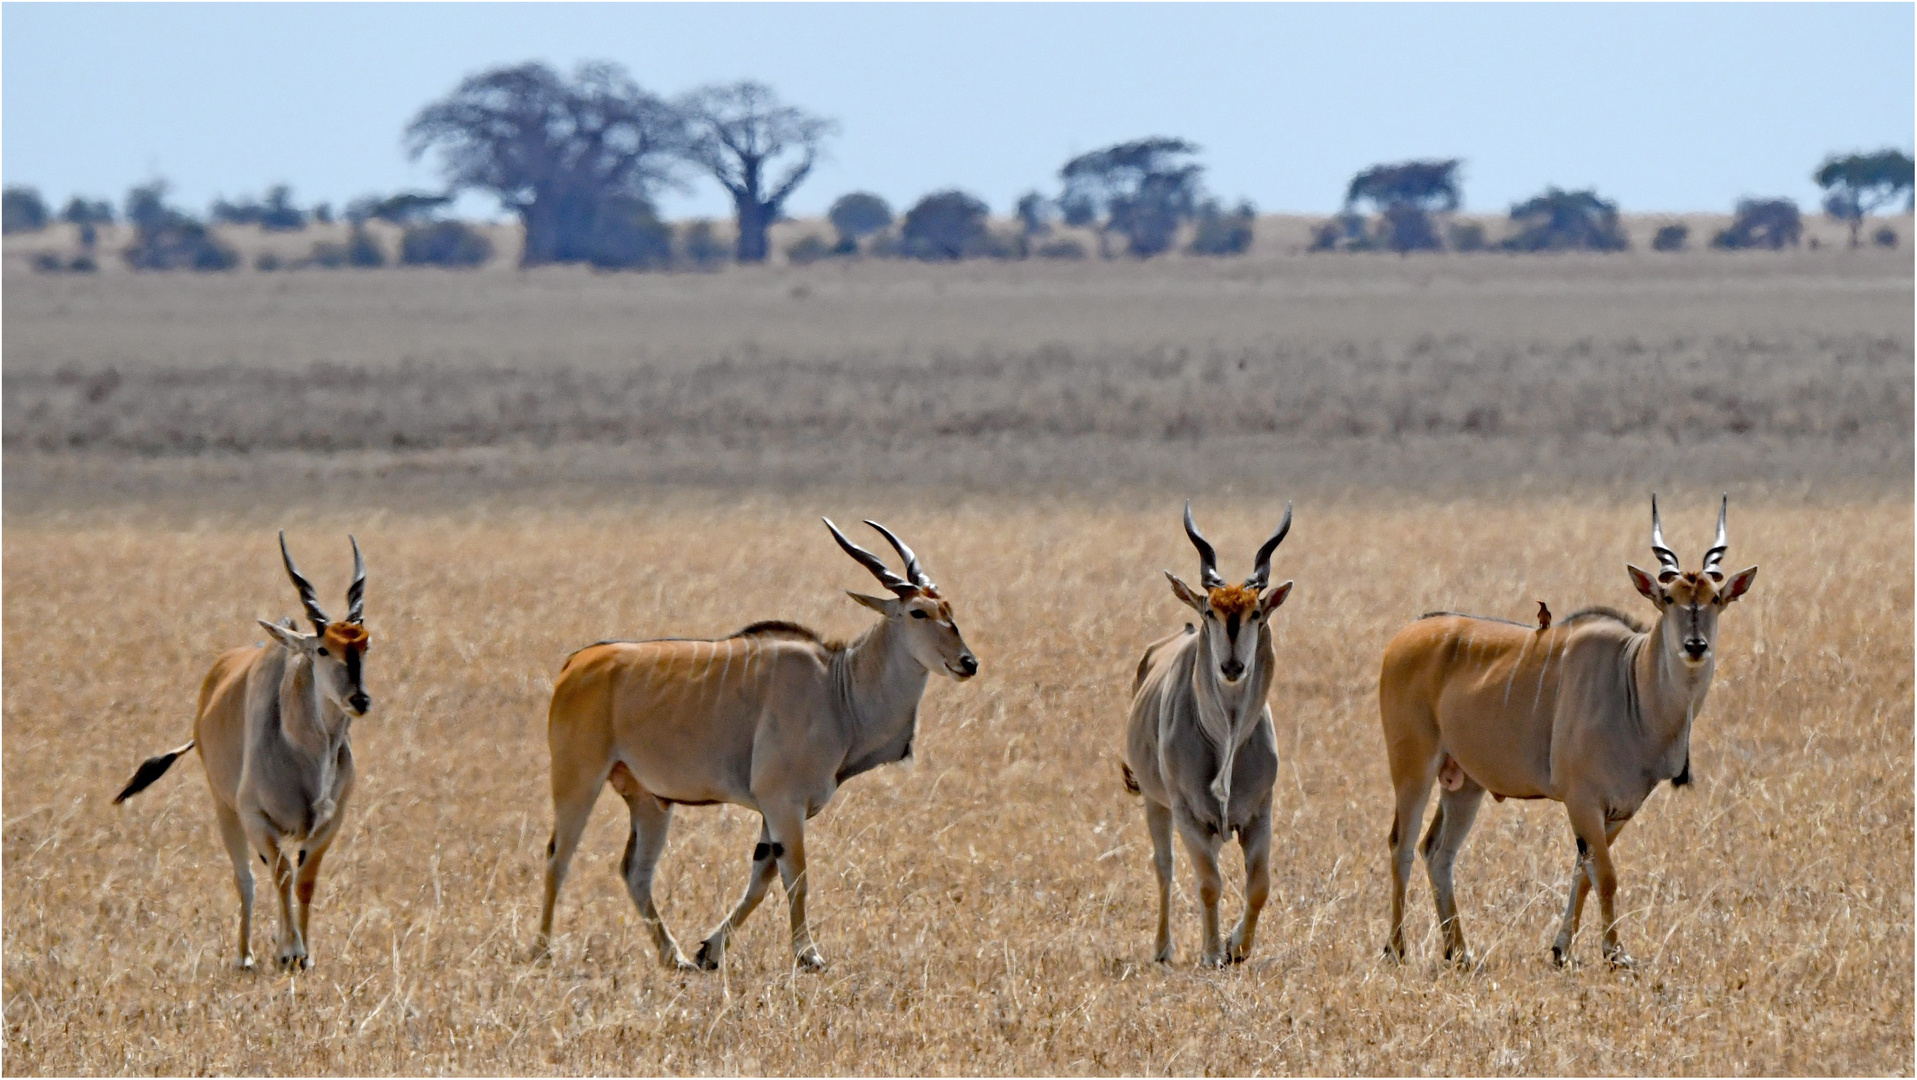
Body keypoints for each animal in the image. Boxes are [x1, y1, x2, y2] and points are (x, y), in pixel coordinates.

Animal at [113, 537, 369, 974]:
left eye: (365, 644)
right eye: (322, 649)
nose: (360, 700)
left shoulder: (329, 823)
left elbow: (304, 879)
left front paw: (304, 953)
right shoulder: (255, 817)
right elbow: (281, 875)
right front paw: (290, 951)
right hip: (225, 809)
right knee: (246, 878)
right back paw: (245, 955)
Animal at [540, 517, 981, 974]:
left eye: (949, 611)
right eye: (918, 612)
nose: (968, 663)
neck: (838, 687)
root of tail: (577, 663)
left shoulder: (773, 812)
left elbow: (761, 879)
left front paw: (709, 951)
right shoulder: (784, 803)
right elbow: (796, 877)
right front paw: (808, 955)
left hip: (651, 800)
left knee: (635, 871)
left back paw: (673, 956)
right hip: (578, 781)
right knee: (558, 858)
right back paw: (543, 953)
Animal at [1119, 502, 1295, 966]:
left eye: (1255, 613)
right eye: (1210, 612)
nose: (1232, 667)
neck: (1227, 739)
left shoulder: (1259, 815)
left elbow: (1259, 885)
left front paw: (1236, 946)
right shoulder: (1188, 815)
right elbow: (1209, 884)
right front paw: (1214, 952)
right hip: (1156, 805)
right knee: (1164, 866)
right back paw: (1164, 949)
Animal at [1380, 498, 1763, 970]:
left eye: (1715, 599)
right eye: (1669, 598)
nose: (1695, 646)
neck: (1631, 680)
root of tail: (1405, 635)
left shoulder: (1618, 810)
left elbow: (1585, 873)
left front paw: (1562, 949)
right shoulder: (1583, 801)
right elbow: (1607, 876)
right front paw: (1615, 953)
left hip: (1464, 783)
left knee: (1437, 851)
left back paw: (1460, 952)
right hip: (1412, 769)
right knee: (1401, 844)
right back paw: (1396, 949)